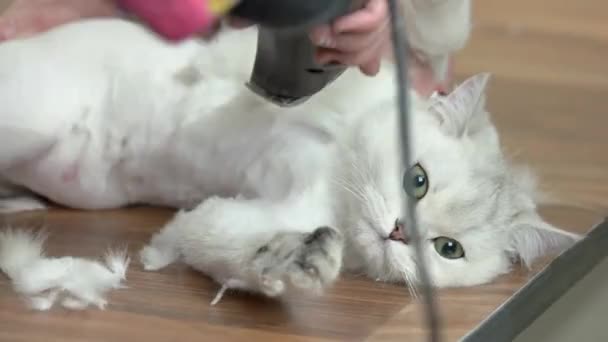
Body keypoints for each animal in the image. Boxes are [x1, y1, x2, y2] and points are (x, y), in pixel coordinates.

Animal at [0, 14, 580, 302]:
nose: (397, 232)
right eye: (418, 180)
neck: (337, 178)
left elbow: (217, 237)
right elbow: (237, 58)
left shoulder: (276, 207)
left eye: (448, 249)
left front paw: (290, 263)